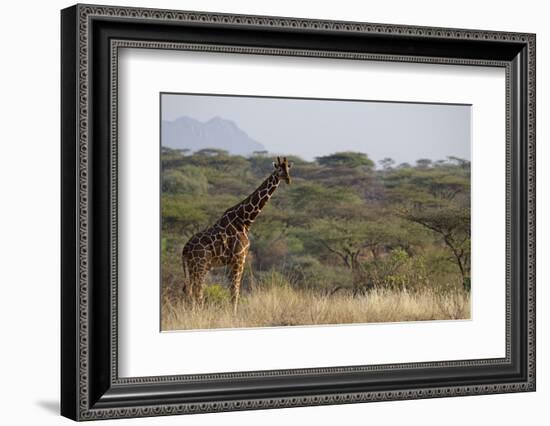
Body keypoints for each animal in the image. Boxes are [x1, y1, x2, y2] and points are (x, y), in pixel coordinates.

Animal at [181, 156, 294, 312]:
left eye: (288, 168)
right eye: (279, 169)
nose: (288, 179)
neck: (245, 220)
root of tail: (185, 249)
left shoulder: (233, 261)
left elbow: (232, 289)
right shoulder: (239, 258)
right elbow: (235, 290)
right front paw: (234, 314)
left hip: (194, 266)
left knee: (190, 289)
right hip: (200, 264)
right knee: (197, 290)